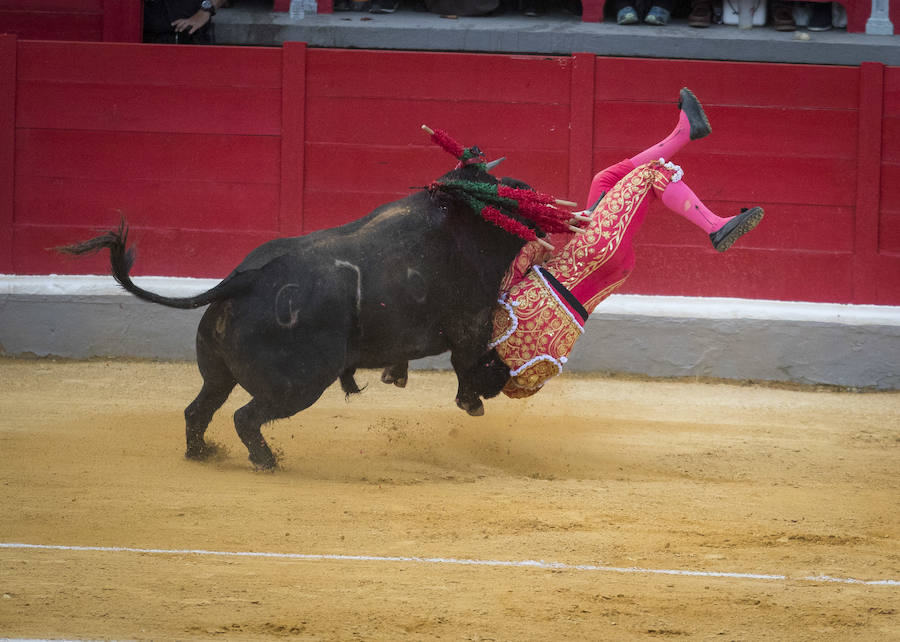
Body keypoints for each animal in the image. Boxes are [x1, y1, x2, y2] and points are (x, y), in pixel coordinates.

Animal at [67, 162, 540, 468]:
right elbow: (468, 359)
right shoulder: (471, 322)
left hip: (218, 373)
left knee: (199, 410)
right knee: (244, 416)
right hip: (300, 383)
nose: (503, 384)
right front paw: (474, 401)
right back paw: (267, 461)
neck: (474, 228)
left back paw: (203, 454)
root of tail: (243, 280)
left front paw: (399, 374)